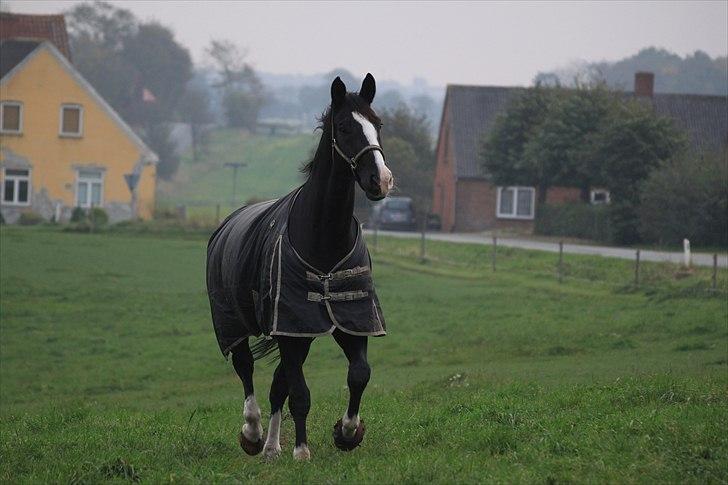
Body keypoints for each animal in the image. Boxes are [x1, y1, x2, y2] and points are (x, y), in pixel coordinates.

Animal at [206, 73, 392, 460]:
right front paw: (302, 450)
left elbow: (359, 374)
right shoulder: (290, 328)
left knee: (279, 384)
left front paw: (347, 432)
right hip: (235, 324)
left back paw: (272, 447)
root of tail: (226, 226)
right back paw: (254, 434)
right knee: (246, 369)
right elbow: (301, 394)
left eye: (378, 124)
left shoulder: (345, 322)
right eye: (344, 127)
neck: (323, 241)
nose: (381, 180)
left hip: (297, 335)